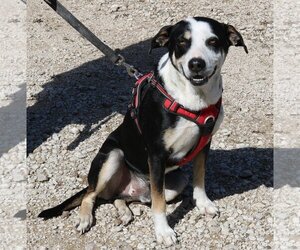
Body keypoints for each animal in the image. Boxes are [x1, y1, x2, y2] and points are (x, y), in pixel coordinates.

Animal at [38, 17, 247, 246]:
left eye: (213, 41)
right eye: (181, 43)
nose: (196, 64)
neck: (193, 99)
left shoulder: (204, 143)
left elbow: (199, 178)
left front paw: (203, 204)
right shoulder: (156, 154)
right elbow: (159, 204)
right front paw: (163, 232)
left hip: (174, 184)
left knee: (120, 197)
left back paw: (124, 212)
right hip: (113, 156)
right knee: (91, 195)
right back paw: (85, 218)